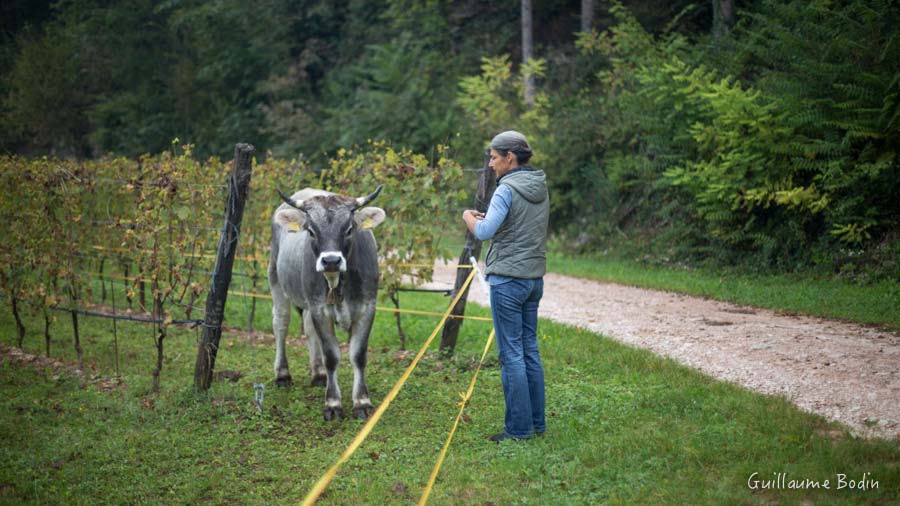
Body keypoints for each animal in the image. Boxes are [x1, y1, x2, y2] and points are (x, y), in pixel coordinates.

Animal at [270, 185, 386, 420]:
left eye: (349, 229)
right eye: (311, 231)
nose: (331, 260)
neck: (337, 283)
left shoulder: (367, 308)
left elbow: (358, 355)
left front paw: (362, 402)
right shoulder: (320, 310)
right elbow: (331, 356)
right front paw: (333, 404)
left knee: (308, 329)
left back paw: (318, 374)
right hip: (276, 279)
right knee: (281, 324)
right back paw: (283, 374)